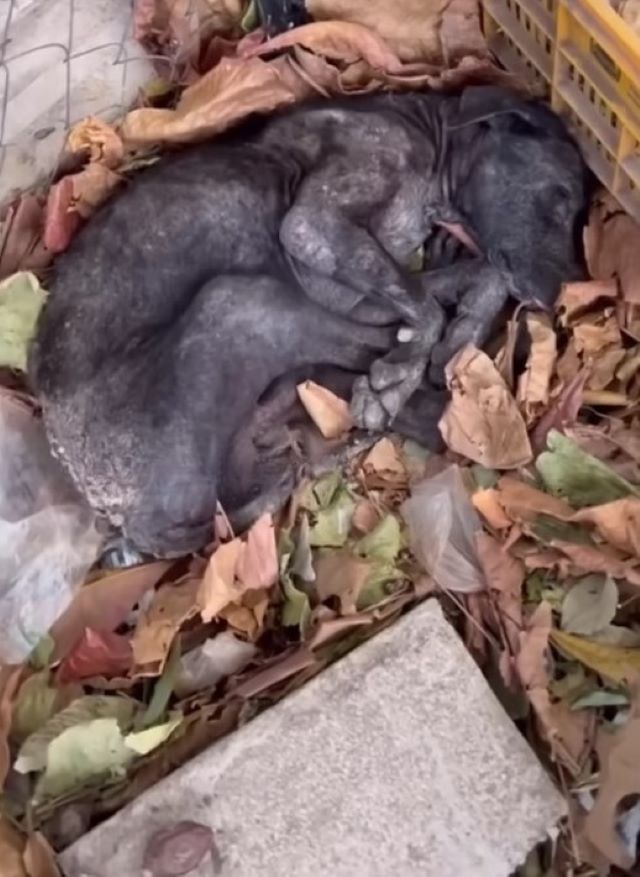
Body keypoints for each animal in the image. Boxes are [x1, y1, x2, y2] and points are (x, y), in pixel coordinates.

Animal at [30, 85, 592, 556]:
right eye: (563, 195)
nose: (559, 296)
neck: (429, 134)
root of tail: (122, 515)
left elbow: (472, 277)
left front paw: (465, 323)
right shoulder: (312, 234)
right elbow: (426, 304)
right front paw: (420, 355)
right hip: (240, 302)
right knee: (397, 386)